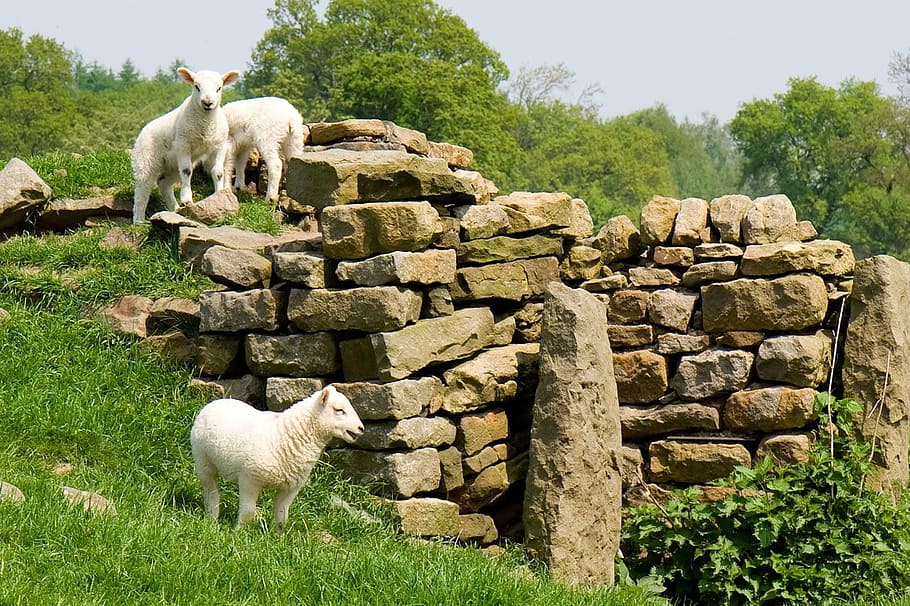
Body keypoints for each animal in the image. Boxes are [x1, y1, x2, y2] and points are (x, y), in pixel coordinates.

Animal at [131, 67, 240, 223]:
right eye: (196, 86)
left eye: (219, 88)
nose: (207, 102)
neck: (205, 123)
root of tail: (142, 131)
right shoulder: (183, 144)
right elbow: (187, 171)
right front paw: (187, 199)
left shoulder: (220, 145)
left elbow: (218, 172)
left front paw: (220, 195)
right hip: (146, 161)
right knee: (142, 191)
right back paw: (139, 221)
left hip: (170, 166)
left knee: (164, 184)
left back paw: (175, 209)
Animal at [189, 384, 364, 531]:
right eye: (339, 410)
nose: (361, 428)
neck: (285, 434)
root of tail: (216, 402)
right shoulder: (249, 479)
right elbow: (248, 512)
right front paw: (237, 532)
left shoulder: (290, 488)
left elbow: (282, 517)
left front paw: (278, 538)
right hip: (203, 460)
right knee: (211, 491)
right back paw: (212, 518)